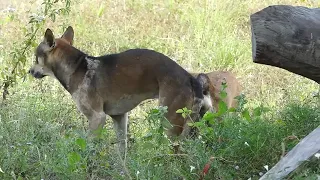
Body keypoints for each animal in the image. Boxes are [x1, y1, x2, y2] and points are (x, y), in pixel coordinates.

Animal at [28, 26, 204, 158]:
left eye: (36, 58)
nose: (29, 71)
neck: (78, 67)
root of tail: (189, 77)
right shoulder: (119, 117)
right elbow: (122, 153)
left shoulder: (97, 118)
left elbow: (88, 149)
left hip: (170, 123)